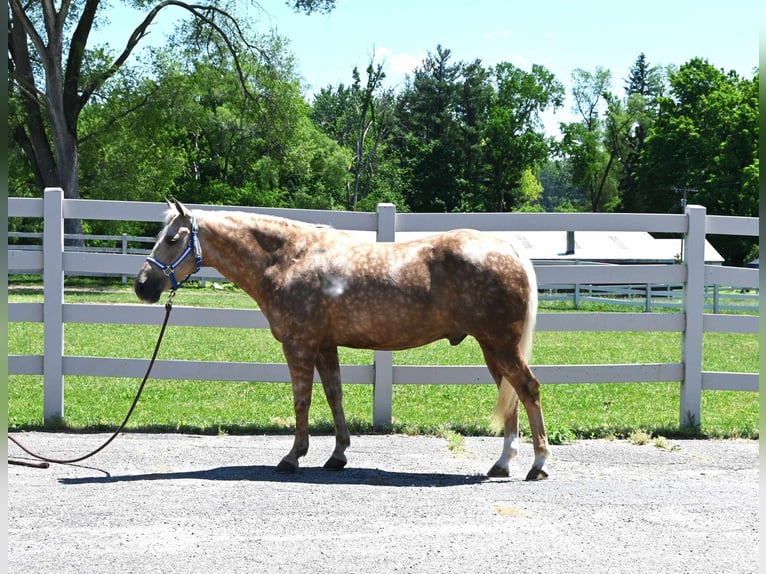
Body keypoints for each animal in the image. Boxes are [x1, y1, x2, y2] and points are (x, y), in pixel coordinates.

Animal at [134, 199, 551, 481]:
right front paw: (338, 456)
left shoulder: (299, 344)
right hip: (492, 347)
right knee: (511, 395)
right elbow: (335, 396)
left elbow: (302, 401)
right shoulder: (324, 345)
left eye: (171, 239)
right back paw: (502, 464)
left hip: (501, 344)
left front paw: (293, 457)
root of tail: (508, 248)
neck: (289, 258)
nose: (143, 287)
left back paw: (538, 464)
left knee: (528, 388)